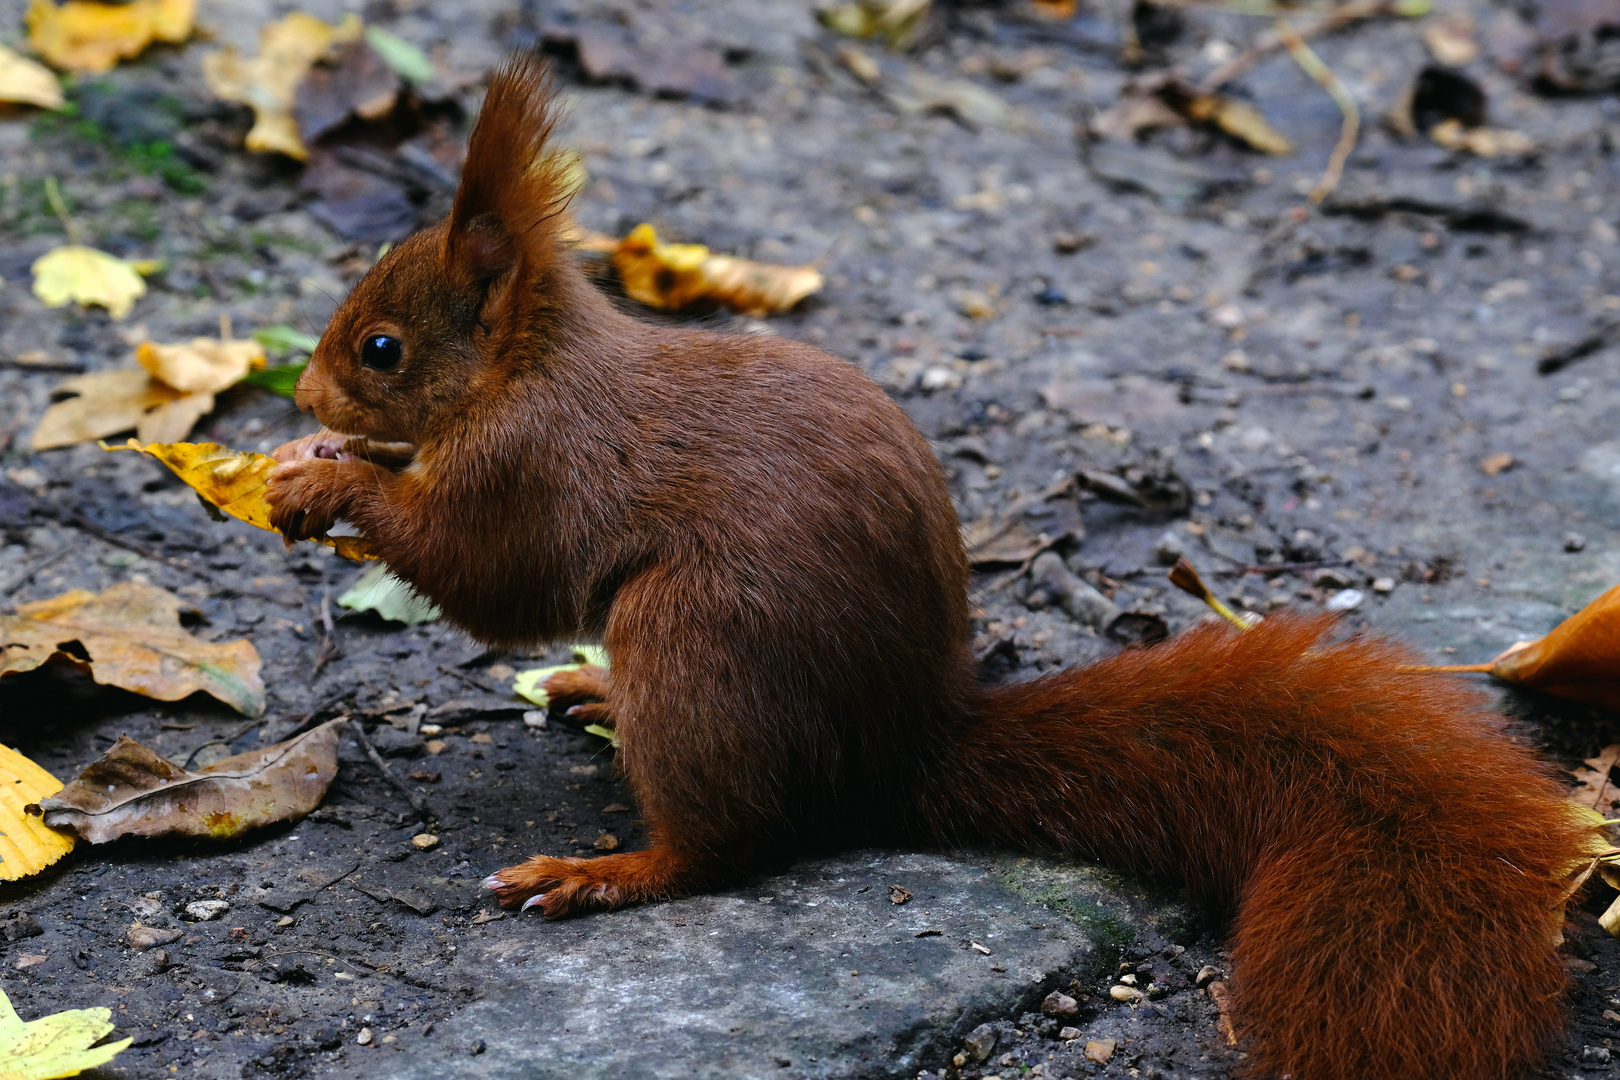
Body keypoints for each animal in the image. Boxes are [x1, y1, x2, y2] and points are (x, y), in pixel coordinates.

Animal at [268, 57, 1594, 1080]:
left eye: (380, 349)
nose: (306, 396)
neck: (526, 368)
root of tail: (902, 746)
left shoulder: (531, 466)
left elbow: (489, 573)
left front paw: (331, 483)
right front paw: (311, 461)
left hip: (698, 646)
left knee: (723, 845)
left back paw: (606, 869)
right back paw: (595, 696)